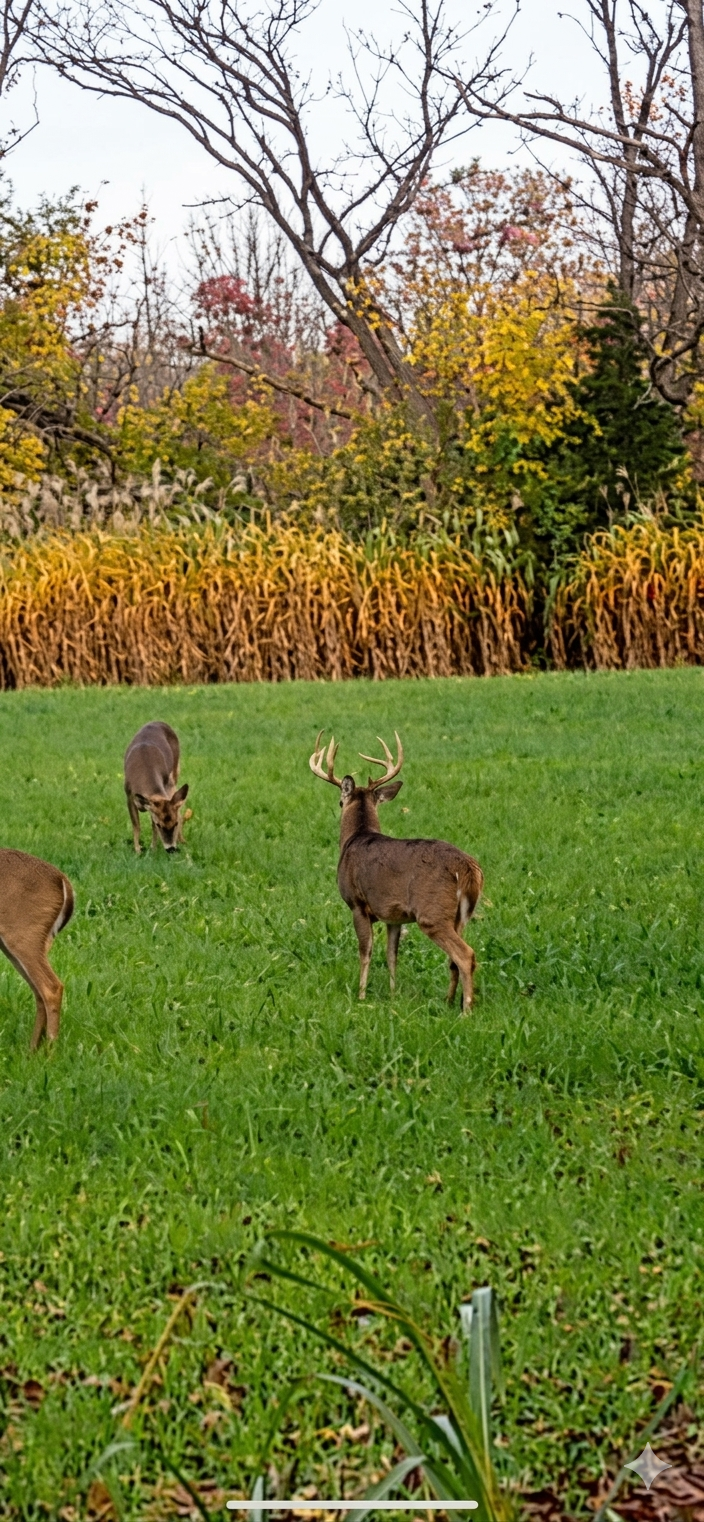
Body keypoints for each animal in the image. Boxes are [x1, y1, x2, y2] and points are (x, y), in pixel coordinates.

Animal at [0, 849, 74, 1050]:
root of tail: (62, 880)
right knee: (38, 990)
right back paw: (33, 1050)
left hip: (23, 935)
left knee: (51, 987)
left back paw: (50, 1051)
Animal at [124, 721, 190, 854]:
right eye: (160, 825)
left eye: (175, 823)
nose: (171, 849)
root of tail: (158, 722)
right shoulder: (129, 795)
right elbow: (136, 825)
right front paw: (138, 850)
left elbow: (153, 826)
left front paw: (153, 849)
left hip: (175, 771)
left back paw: (182, 840)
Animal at [310, 731, 483, 1011]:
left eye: (340, 801)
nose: (339, 802)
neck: (355, 839)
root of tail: (468, 867)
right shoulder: (394, 916)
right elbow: (392, 955)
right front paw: (393, 994)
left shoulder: (357, 903)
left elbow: (365, 951)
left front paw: (361, 995)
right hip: (460, 916)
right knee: (454, 960)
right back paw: (448, 1001)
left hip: (432, 912)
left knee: (465, 955)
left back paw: (466, 1009)